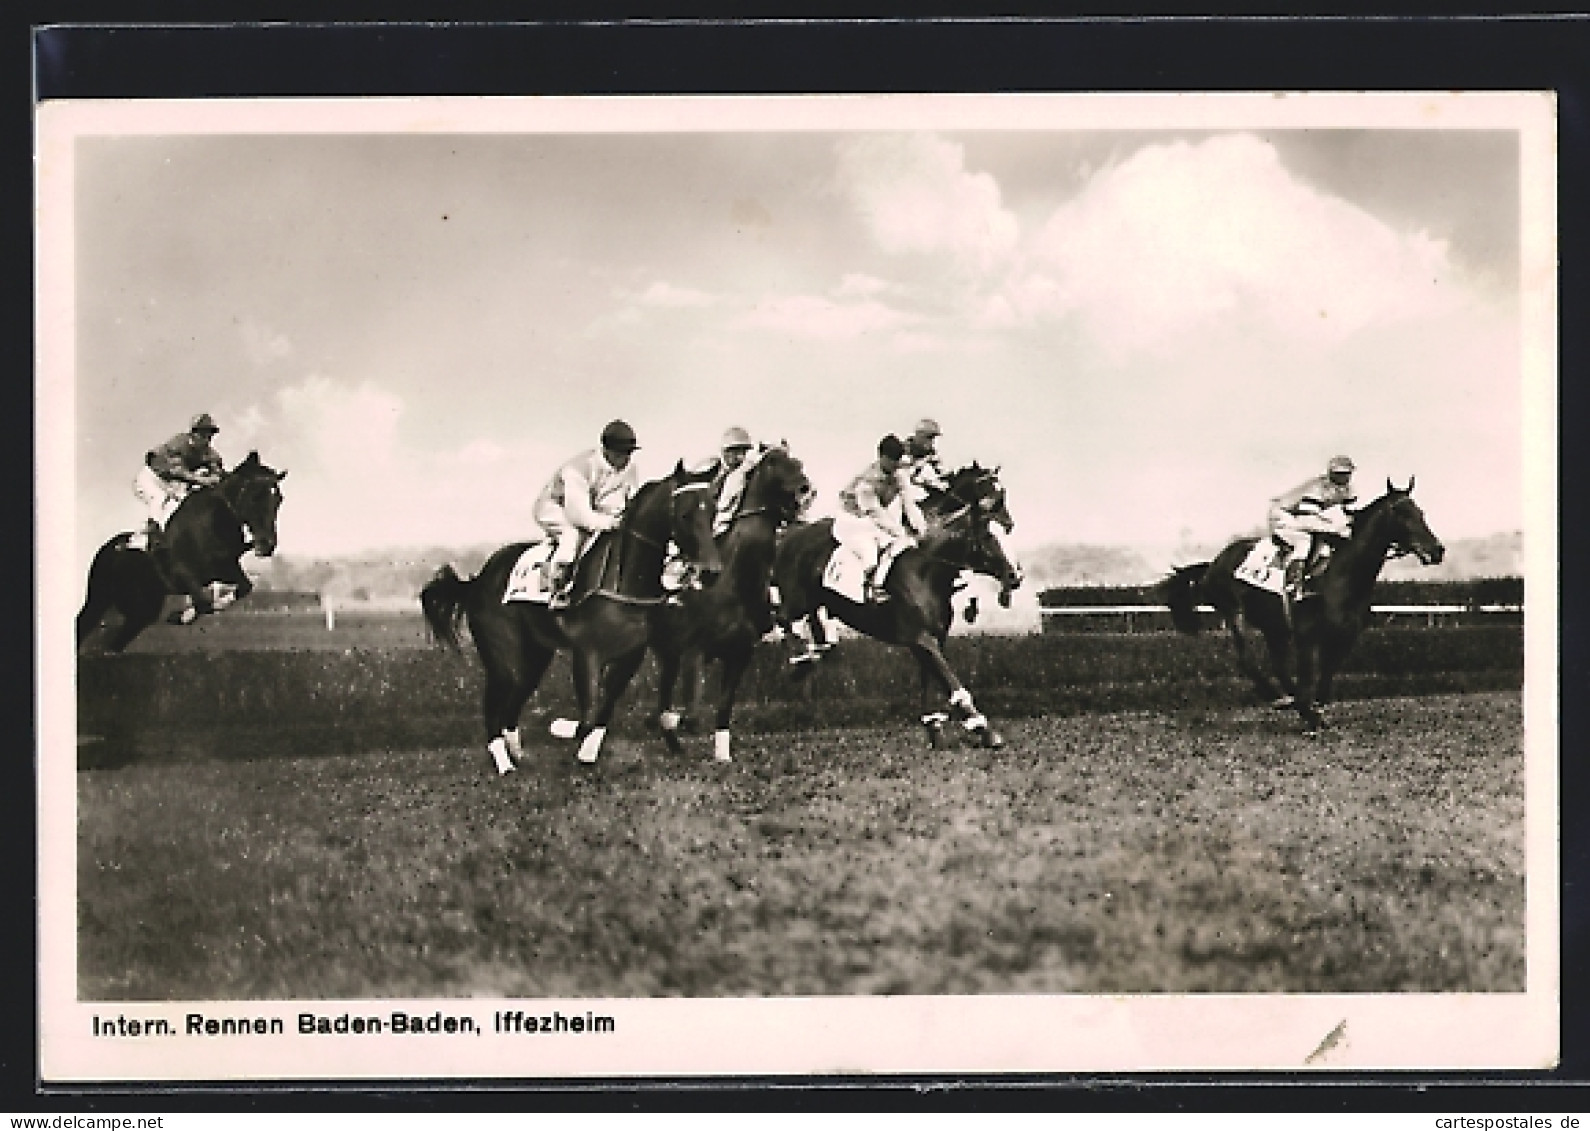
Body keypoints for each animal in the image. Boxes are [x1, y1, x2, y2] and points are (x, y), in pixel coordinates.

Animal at [75, 445, 287, 649]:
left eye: (279, 499)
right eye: (255, 496)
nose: (267, 545)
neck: (211, 522)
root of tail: (107, 548)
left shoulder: (224, 568)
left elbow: (243, 588)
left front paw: (182, 616)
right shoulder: (183, 573)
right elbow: (204, 603)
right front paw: (182, 615)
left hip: (143, 610)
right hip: (99, 598)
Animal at [419, 461, 725, 769]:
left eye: (713, 510)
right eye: (685, 514)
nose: (710, 572)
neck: (622, 578)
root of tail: (477, 579)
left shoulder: (631, 655)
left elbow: (604, 708)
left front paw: (589, 753)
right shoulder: (586, 652)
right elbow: (587, 716)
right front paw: (564, 730)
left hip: (536, 656)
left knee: (516, 697)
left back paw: (517, 755)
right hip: (501, 656)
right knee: (494, 700)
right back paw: (504, 765)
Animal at [645, 445, 814, 766]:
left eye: (798, 462)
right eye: (773, 461)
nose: (804, 488)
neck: (732, 582)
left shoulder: (739, 654)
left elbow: (723, 706)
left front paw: (722, 754)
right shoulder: (693, 651)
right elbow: (692, 712)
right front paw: (675, 721)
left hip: (668, 654)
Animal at [775, 464, 1023, 747]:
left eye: (1005, 530)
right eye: (987, 535)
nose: (1015, 575)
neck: (926, 571)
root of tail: (789, 534)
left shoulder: (933, 639)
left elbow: (931, 681)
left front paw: (934, 727)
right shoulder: (921, 638)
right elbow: (951, 682)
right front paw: (983, 729)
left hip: (816, 602)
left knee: (812, 625)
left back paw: (816, 651)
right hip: (796, 598)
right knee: (782, 617)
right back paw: (800, 659)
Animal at [1163, 480, 1450, 734]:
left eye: (1420, 513)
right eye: (1402, 514)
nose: (1437, 550)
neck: (1340, 575)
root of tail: (1212, 563)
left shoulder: (1344, 635)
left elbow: (1326, 674)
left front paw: (1315, 709)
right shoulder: (1306, 634)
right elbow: (1309, 674)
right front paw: (1310, 714)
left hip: (1273, 626)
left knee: (1278, 664)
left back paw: (1289, 698)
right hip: (1235, 611)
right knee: (1246, 659)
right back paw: (1279, 697)